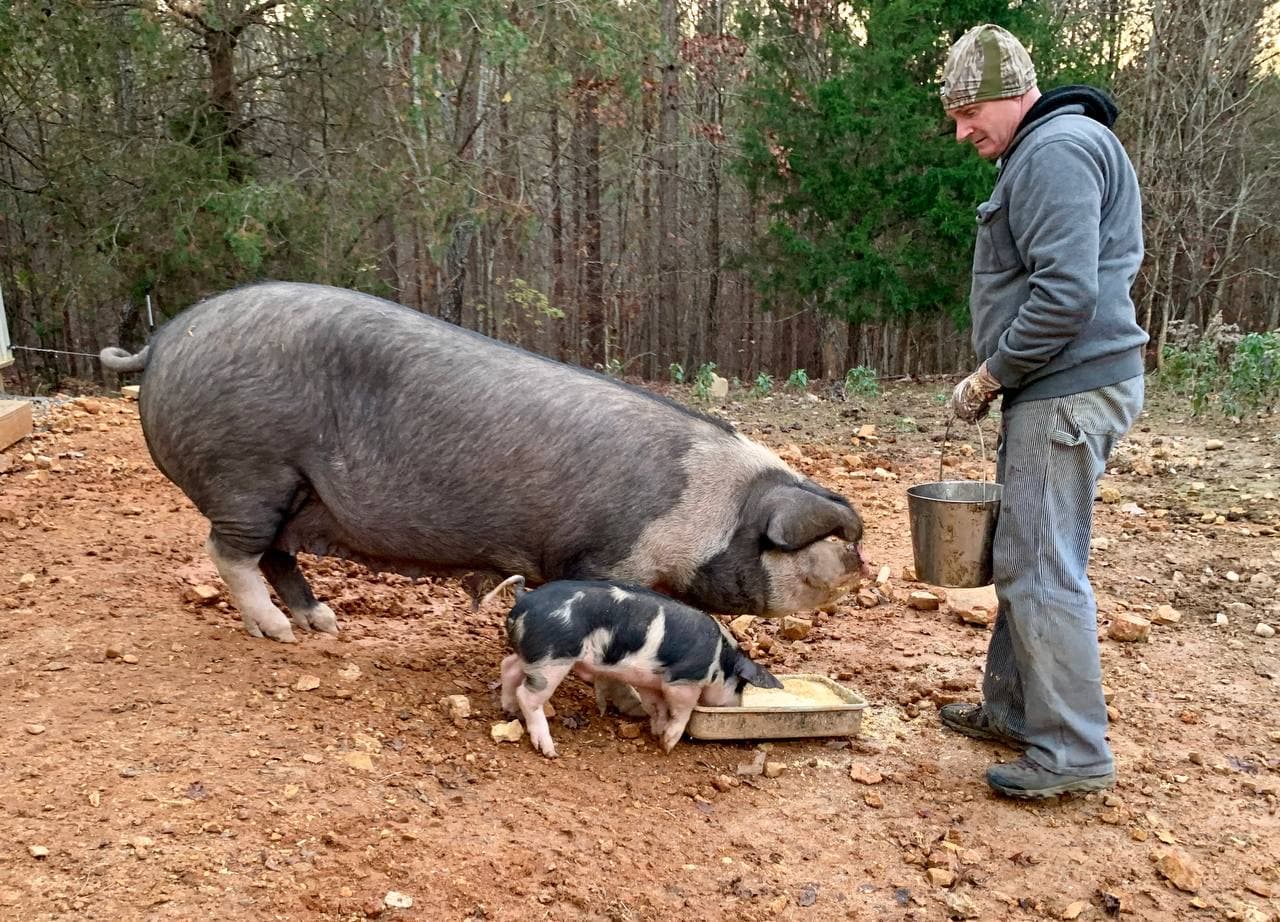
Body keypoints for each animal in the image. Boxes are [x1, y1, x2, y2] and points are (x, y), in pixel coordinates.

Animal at [99, 282, 867, 647]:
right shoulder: (605, 556)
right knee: (230, 550)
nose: (859, 565)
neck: (713, 511)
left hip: (298, 493)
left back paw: (326, 625)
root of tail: (164, 338)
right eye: (825, 539)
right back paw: (280, 632)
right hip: (249, 468)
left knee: (277, 555)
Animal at [488, 576, 783, 756]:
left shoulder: (651, 681)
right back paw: (549, 750)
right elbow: (681, 710)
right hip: (552, 658)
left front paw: (657, 731)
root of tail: (524, 599)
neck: (719, 658)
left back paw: (508, 710)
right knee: (528, 695)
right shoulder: (682, 681)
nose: (738, 704)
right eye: (741, 685)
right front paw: (668, 744)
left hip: (533, 655)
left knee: (509, 666)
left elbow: (656, 706)